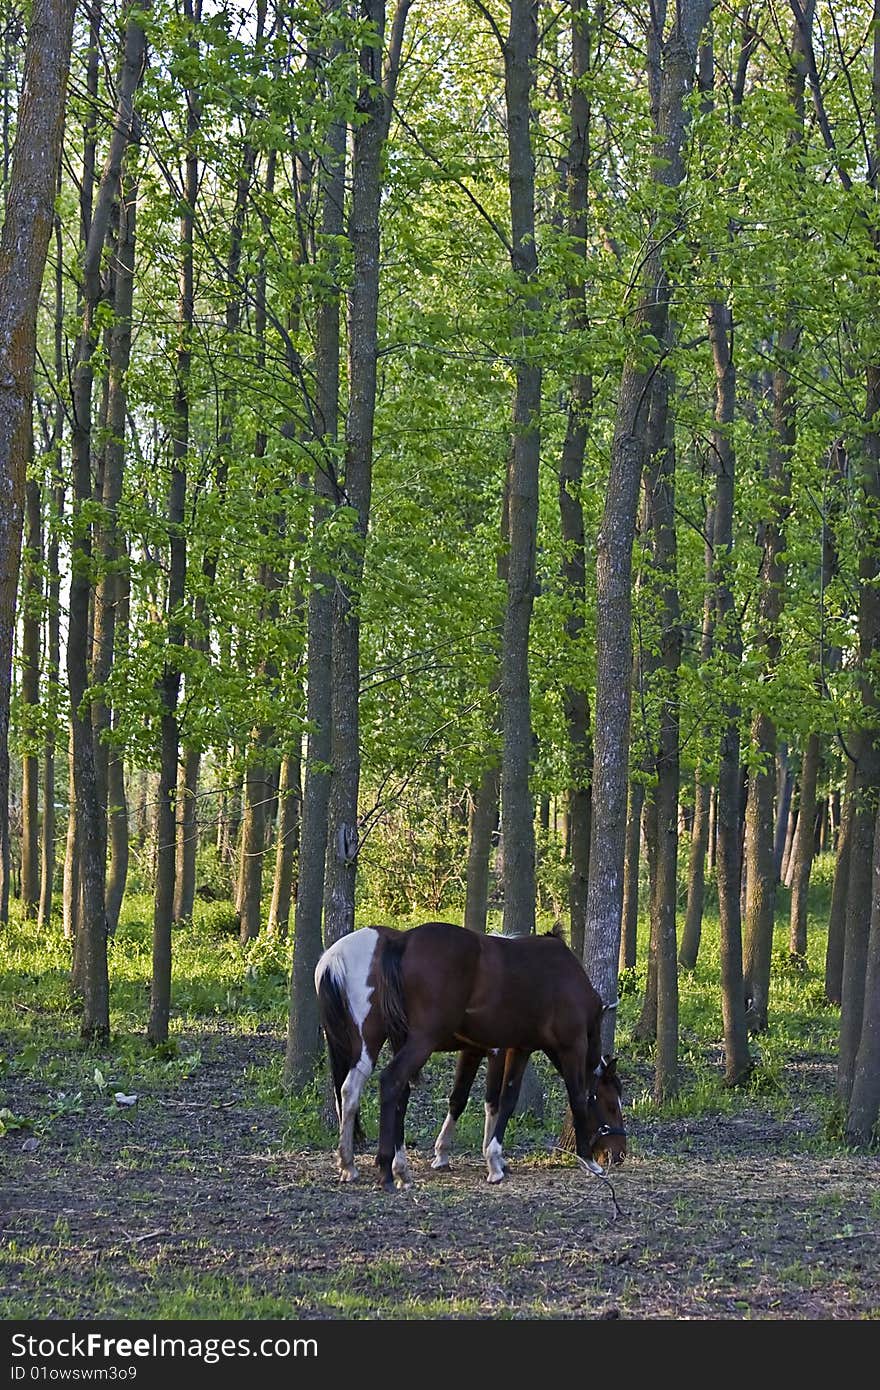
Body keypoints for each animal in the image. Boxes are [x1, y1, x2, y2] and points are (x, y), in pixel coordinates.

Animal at [314, 922, 625, 1195]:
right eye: (611, 1105)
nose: (619, 1153)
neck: (566, 976)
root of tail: (402, 942)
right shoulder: (566, 1046)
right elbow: (573, 1098)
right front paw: (587, 1160)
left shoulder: (511, 1048)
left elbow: (488, 1099)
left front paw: (484, 1158)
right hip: (413, 1040)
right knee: (389, 1082)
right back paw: (386, 1172)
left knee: (358, 1091)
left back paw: (359, 1165)